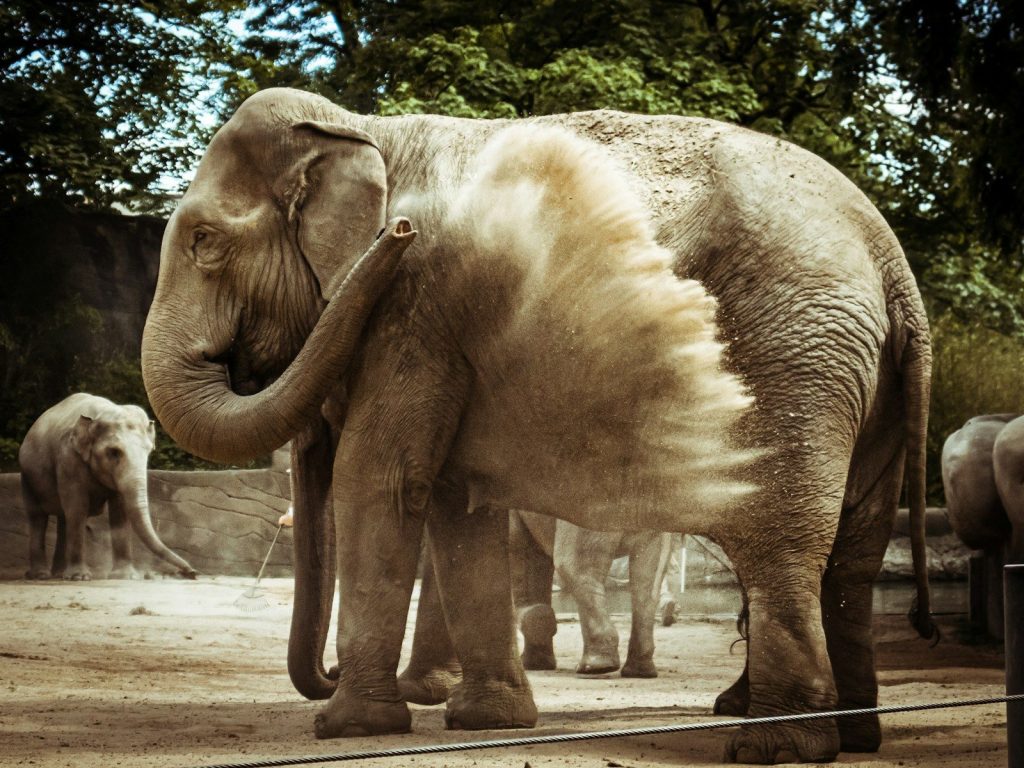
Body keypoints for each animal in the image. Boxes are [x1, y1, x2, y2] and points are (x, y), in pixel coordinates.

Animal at [18, 393, 196, 580]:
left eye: (148, 451)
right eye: (114, 452)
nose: (192, 572)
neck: (100, 413)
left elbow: (119, 509)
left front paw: (125, 576)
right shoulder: (68, 458)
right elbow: (77, 507)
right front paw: (80, 577)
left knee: (63, 518)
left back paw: (59, 574)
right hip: (27, 475)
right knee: (38, 517)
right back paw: (41, 575)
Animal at [140, 88, 934, 764]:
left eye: (204, 241)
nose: (400, 232)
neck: (367, 128)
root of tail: (893, 268)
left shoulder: (413, 307)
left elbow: (382, 480)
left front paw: (348, 728)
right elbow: (452, 502)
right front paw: (483, 721)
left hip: (795, 359)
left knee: (780, 538)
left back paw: (775, 746)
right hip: (861, 382)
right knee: (854, 550)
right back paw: (853, 737)